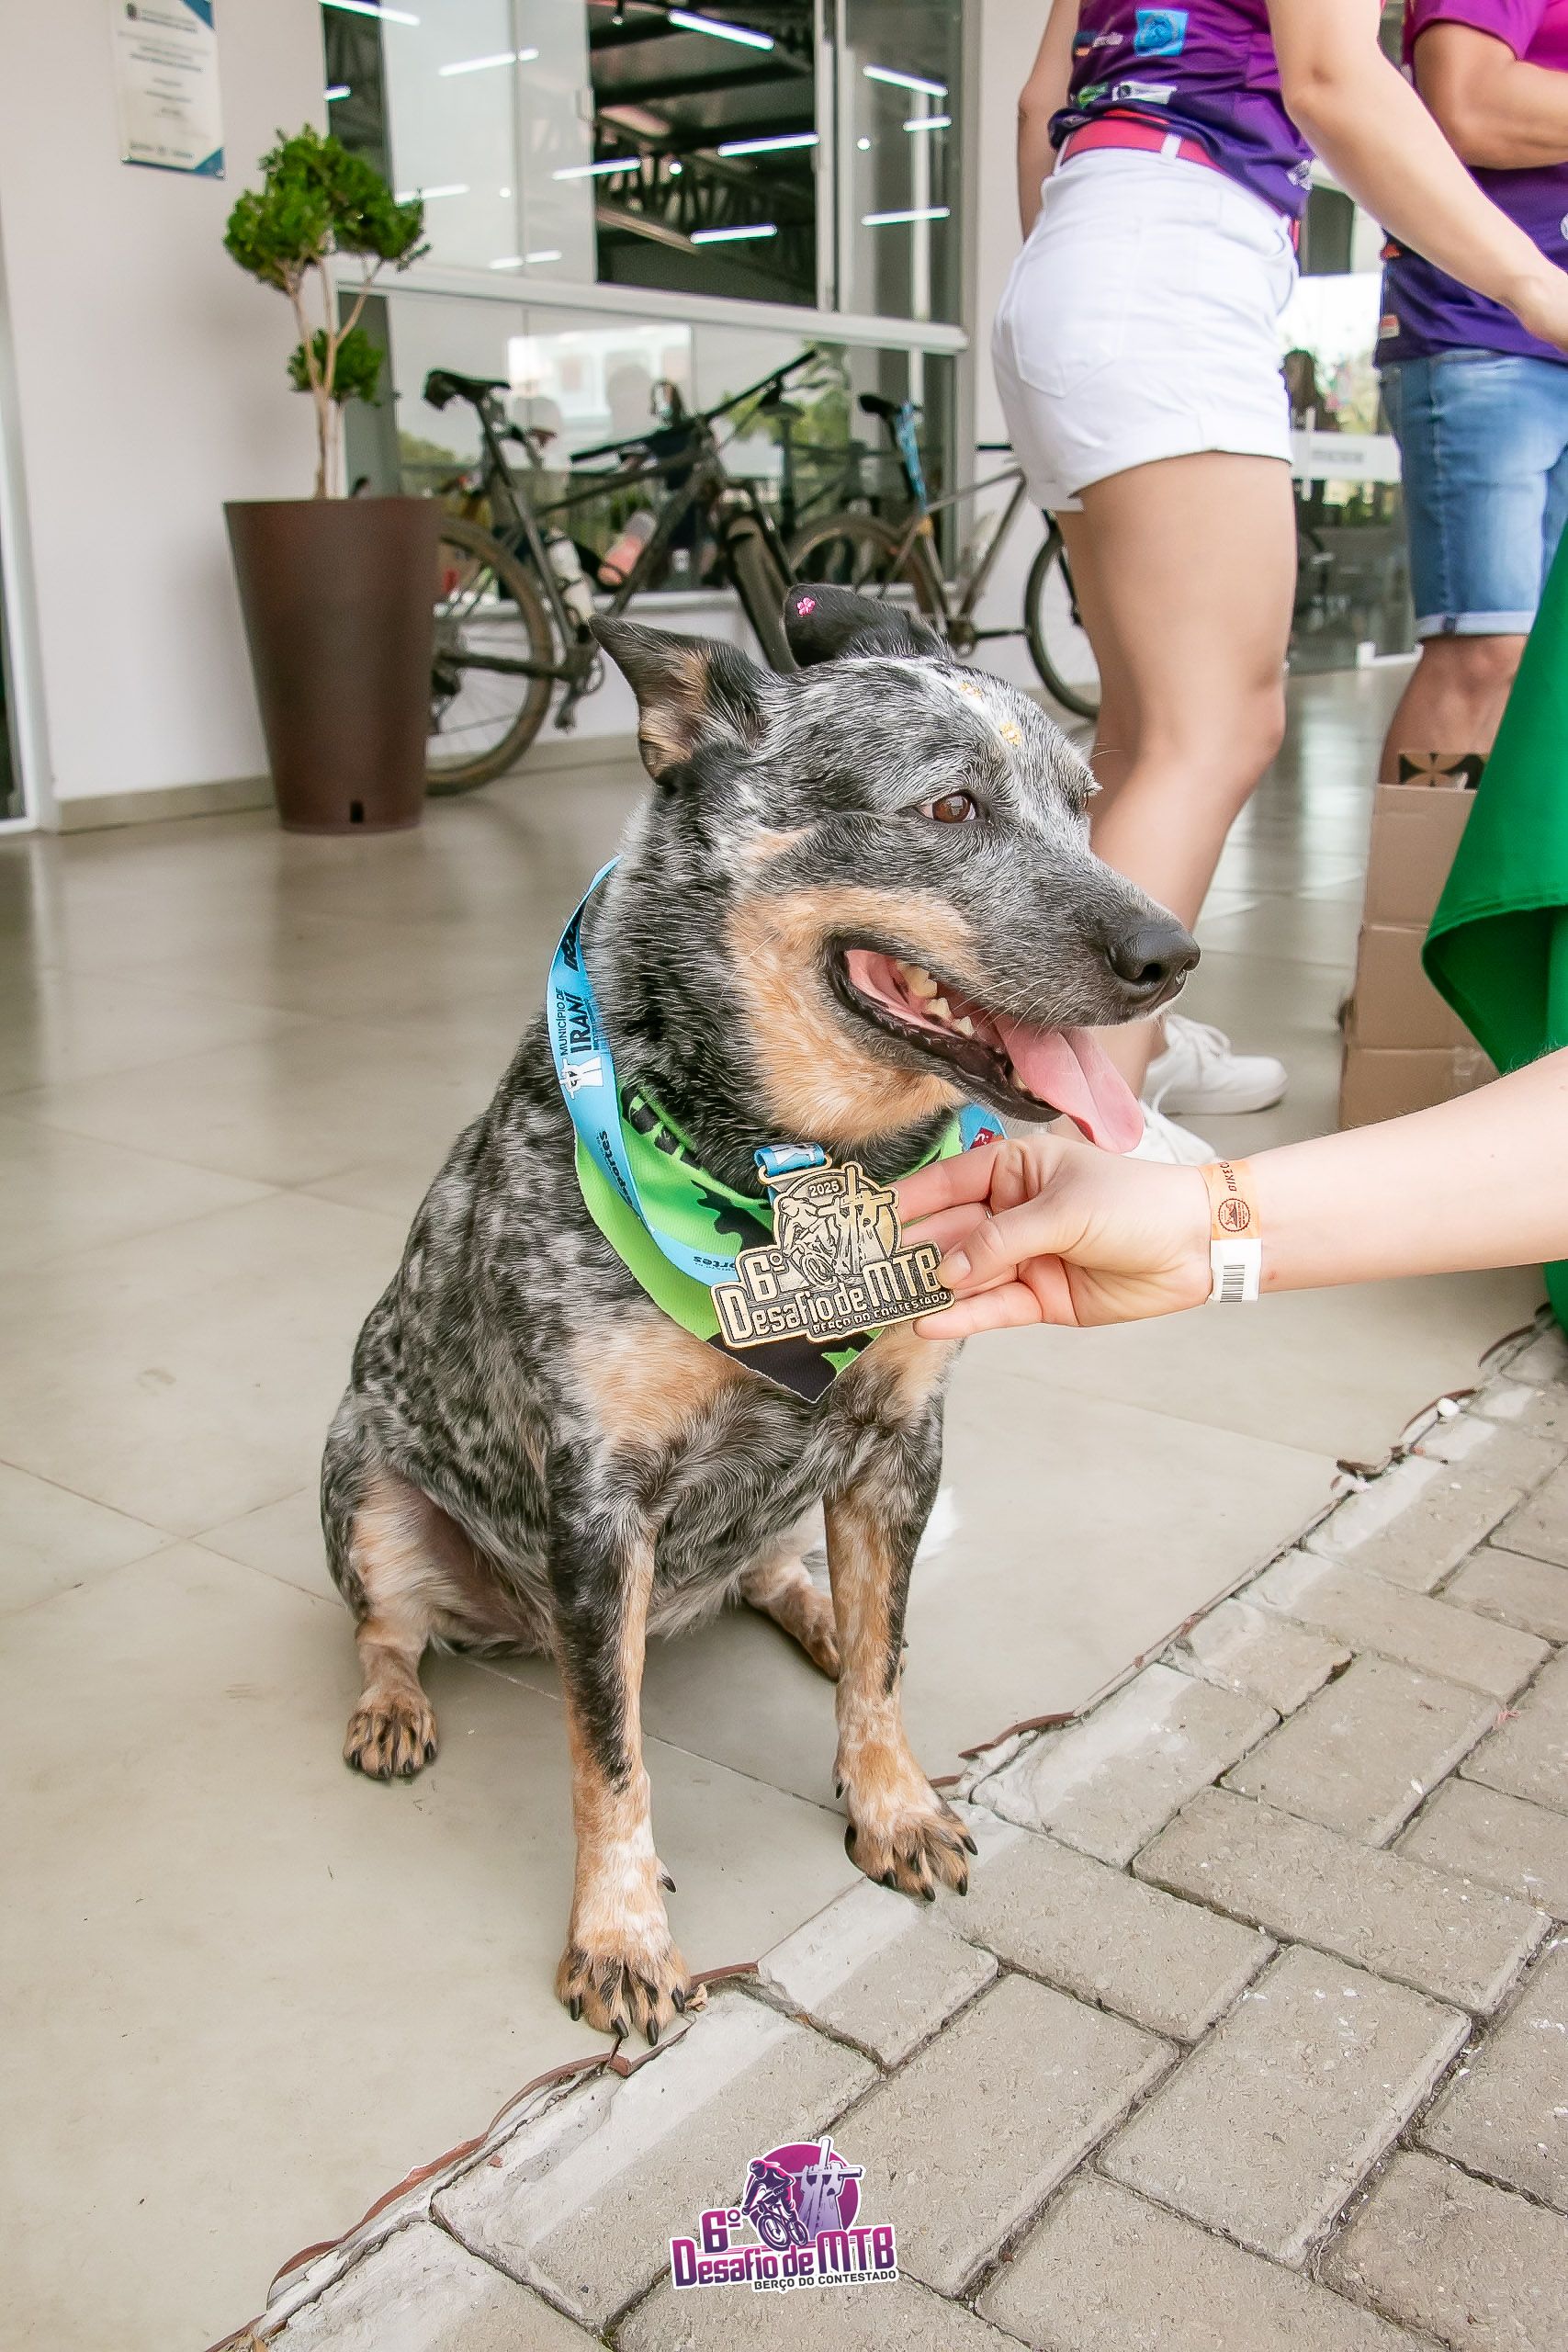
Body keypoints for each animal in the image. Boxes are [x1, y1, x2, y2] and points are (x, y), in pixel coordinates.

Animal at [321, 586, 1196, 2043]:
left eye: (1082, 803)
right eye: (949, 806)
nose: (1172, 951)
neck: (803, 1179)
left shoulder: (901, 1441)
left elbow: (884, 1673)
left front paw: (892, 1801)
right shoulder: (597, 1504)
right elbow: (607, 1755)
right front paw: (619, 1936)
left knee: (790, 1578)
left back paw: (819, 1610)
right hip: (366, 1480)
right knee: (390, 1629)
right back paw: (393, 1705)